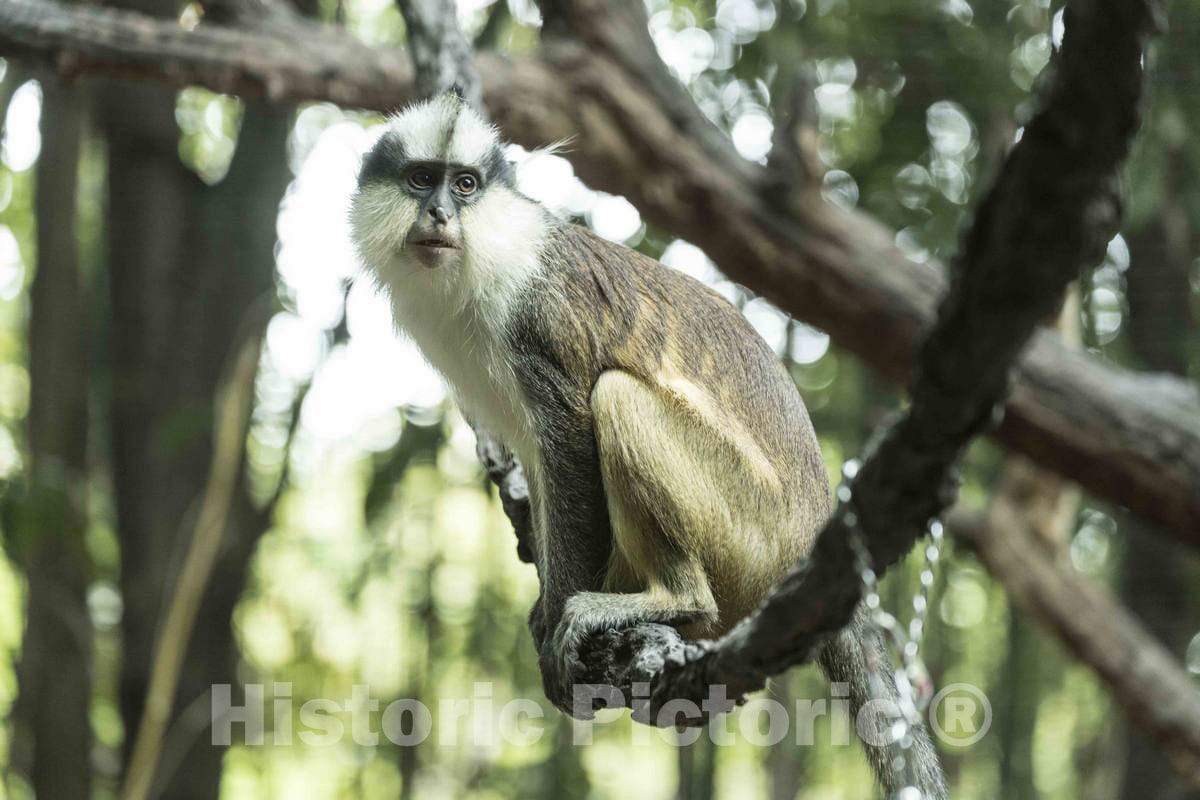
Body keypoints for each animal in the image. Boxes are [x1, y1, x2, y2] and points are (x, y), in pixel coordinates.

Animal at [349, 93, 947, 799]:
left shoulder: (534, 325)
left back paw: (670, 601)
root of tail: (812, 537)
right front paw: (544, 610)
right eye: (421, 179)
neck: (494, 253)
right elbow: (541, 464)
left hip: (750, 534)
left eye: (464, 185)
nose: (440, 213)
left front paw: (561, 623)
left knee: (618, 397)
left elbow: (570, 440)